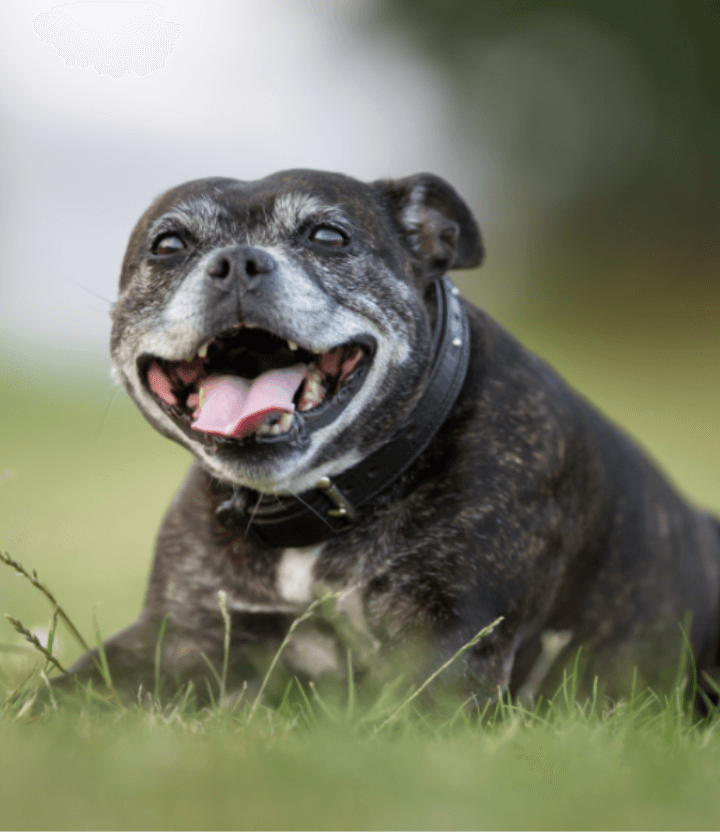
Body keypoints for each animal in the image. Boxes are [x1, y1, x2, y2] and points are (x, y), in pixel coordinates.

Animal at [57, 169, 720, 704]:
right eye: (168, 245)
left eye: (328, 236)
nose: (238, 262)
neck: (318, 505)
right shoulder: (177, 635)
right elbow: (60, 695)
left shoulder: (450, 646)